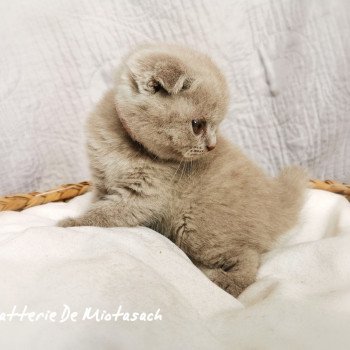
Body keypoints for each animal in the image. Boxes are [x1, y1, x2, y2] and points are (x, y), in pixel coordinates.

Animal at [57, 43, 306, 296]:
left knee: (250, 256)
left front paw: (70, 224)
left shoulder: (143, 195)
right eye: (197, 125)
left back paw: (228, 282)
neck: (130, 147)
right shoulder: (102, 182)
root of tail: (275, 203)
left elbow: (105, 214)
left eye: (216, 126)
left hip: (196, 228)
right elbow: (98, 204)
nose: (212, 146)